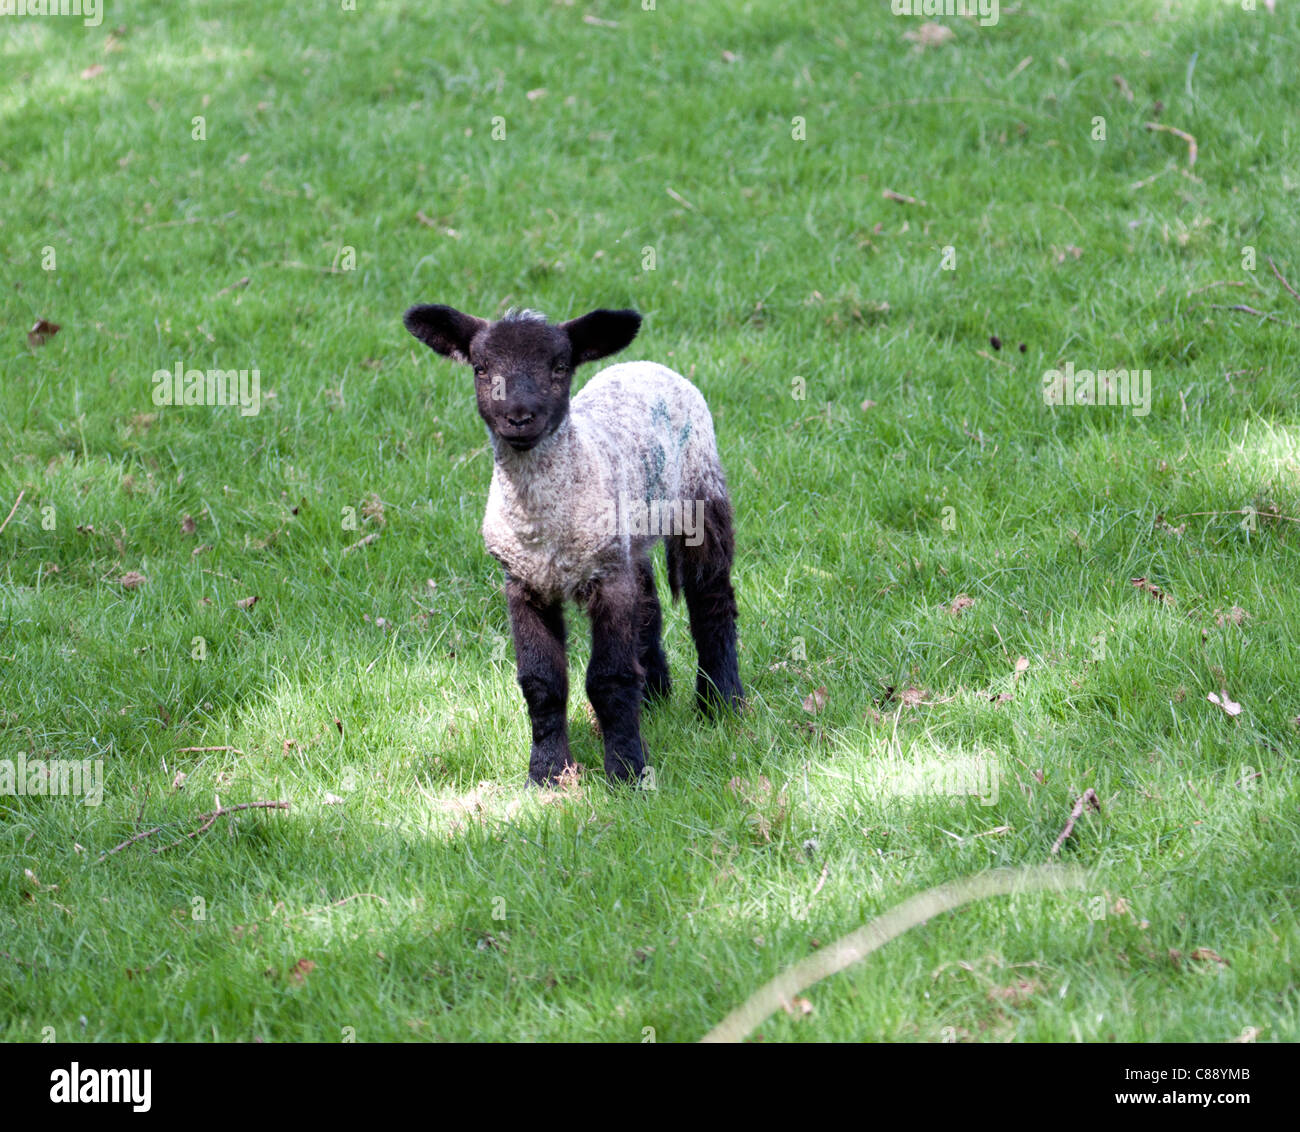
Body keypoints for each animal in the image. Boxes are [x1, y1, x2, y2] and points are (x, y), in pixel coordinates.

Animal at [400, 302, 748, 790]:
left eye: (560, 367)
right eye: (481, 368)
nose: (519, 417)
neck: (542, 527)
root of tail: (647, 364)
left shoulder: (606, 578)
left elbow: (609, 678)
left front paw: (627, 772)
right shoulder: (523, 582)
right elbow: (541, 683)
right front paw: (547, 774)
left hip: (700, 492)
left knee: (712, 601)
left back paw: (721, 703)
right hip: (629, 534)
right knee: (648, 604)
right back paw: (654, 695)